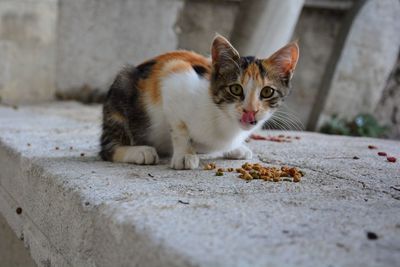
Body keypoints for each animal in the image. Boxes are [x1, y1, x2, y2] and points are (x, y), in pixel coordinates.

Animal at [100, 35, 298, 170]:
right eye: (235, 89)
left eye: (267, 92)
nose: (250, 110)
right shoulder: (173, 75)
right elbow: (179, 128)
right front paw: (184, 155)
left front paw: (235, 148)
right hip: (122, 85)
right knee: (106, 149)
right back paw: (140, 151)